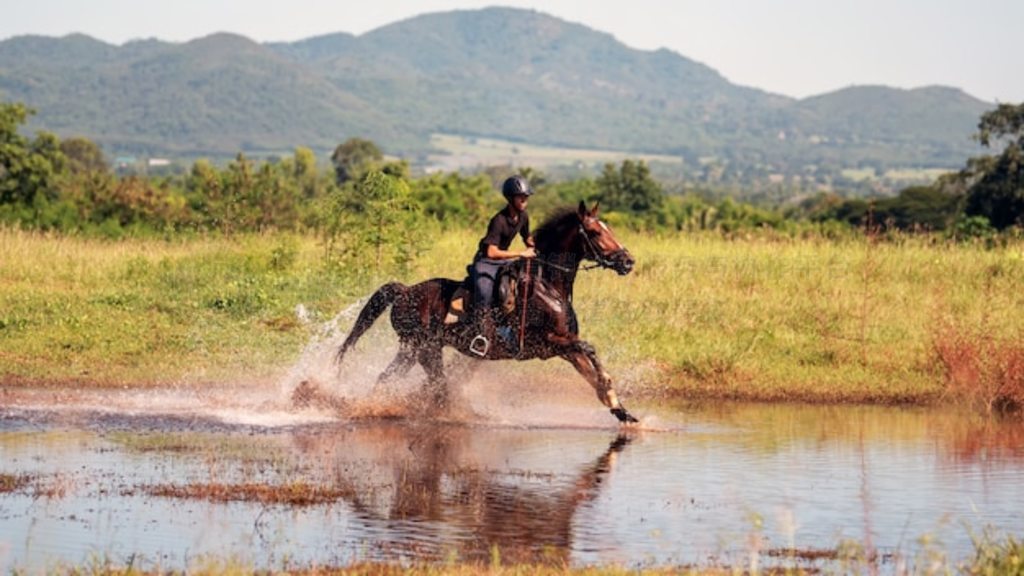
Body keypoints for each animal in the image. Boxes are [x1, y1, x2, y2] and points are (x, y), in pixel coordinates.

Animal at [335, 200, 638, 422]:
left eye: (609, 229)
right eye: (596, 233)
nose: (628, 261)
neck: (548, 286)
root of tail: (405, 291)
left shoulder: (564, 346)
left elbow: (589, 370)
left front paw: (620, 410)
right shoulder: (546, 343)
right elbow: (590, 349)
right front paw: (611, 393)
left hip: (415, 349)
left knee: (397, 380)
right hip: (422, 347)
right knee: (430, 384)